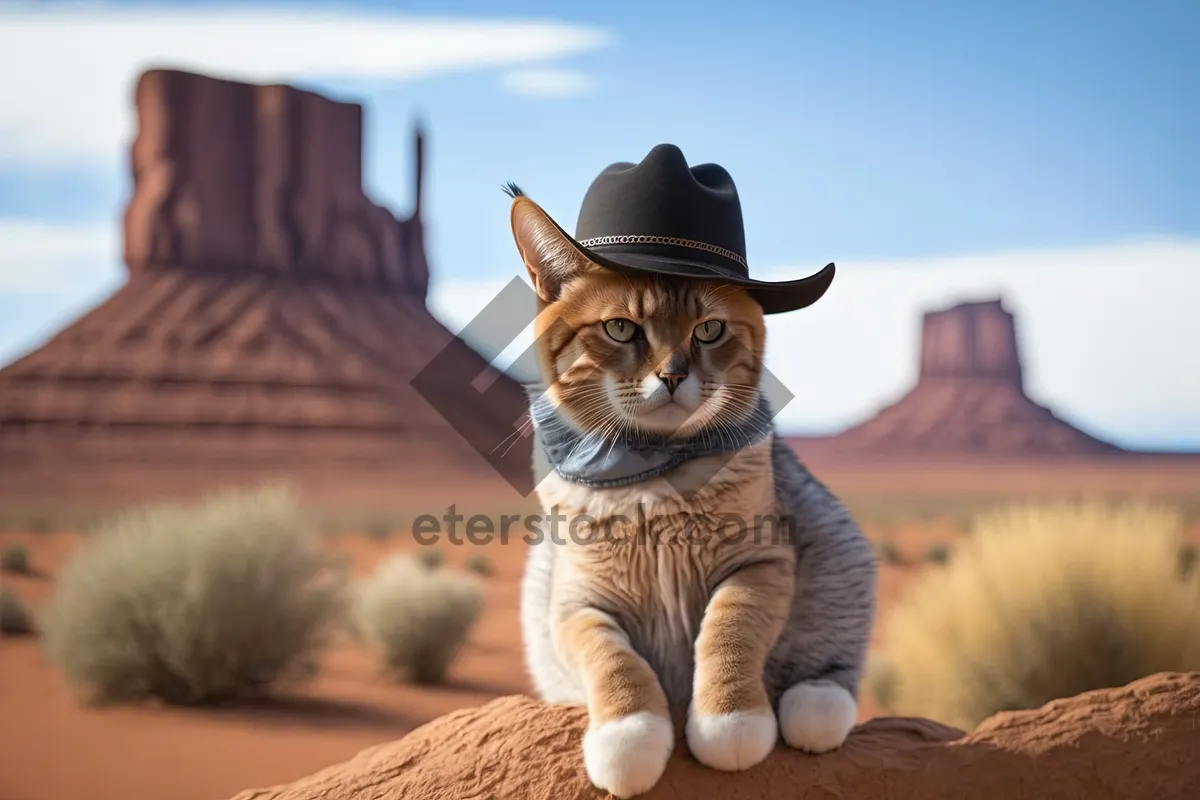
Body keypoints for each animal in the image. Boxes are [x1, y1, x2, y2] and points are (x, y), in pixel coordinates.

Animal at [511, 194, 878, 800]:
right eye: (620, 328)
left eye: (709, 330)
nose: (672, 375)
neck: (651, 477)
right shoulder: (575, 602)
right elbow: (611, 659)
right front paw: (629, 736)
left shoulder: (760, 562)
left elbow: (729, 631)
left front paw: (729, 721)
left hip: (835, 546)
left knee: (829, 659)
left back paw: (815, 705)